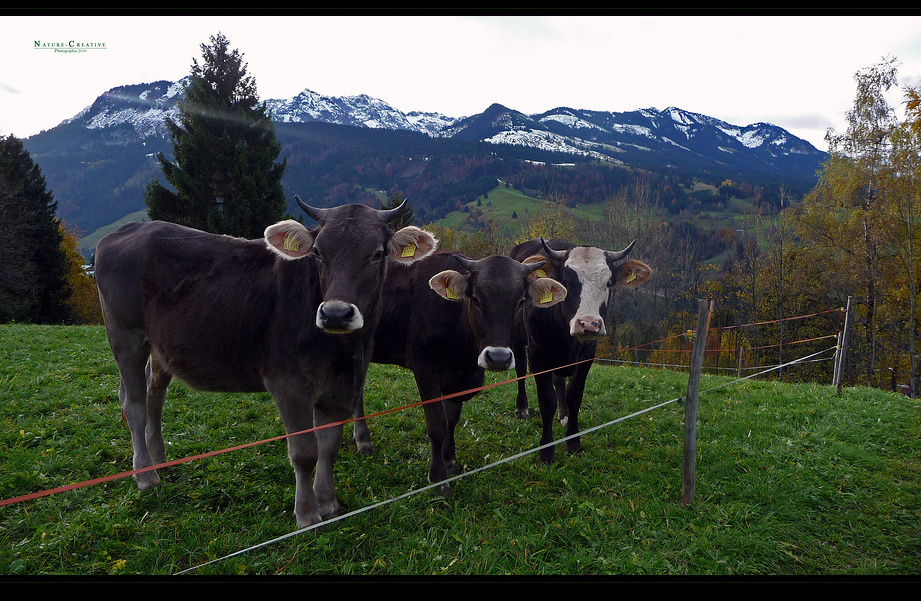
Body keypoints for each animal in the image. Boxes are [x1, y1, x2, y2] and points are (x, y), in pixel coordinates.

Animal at [352, 252, 564, 492]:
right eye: (476, 299)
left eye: (520, 302)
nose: (498, 358)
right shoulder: (425, 370)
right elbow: (437, 424)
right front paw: (438, 477)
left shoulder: (458, 378)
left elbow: (451, 419)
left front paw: (450, 460)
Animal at [506, 238, 652, 464]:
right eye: (566, 282)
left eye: (609, 283)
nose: (589, 324)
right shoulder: (538, 356)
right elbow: (546, 402)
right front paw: (546, 452)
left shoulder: (586, 357)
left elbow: (574, 397)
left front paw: (574, 443)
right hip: (518, 339)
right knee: (520, 370)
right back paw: (522, 409)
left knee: (559, 382)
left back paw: (563, 415)